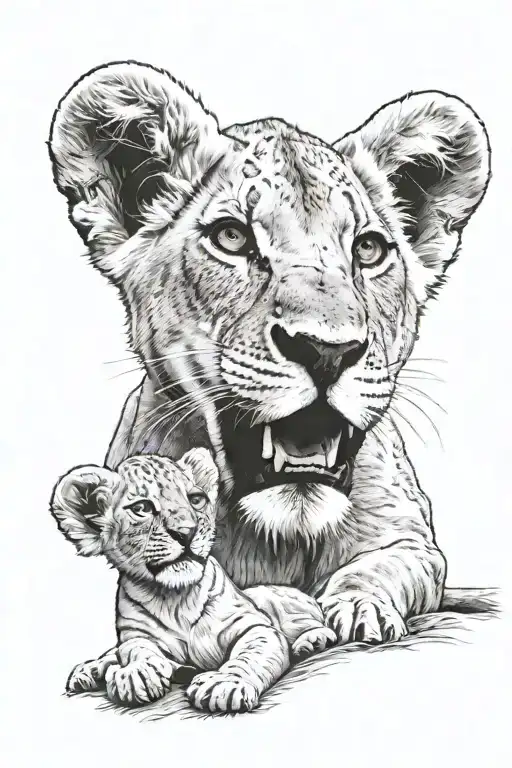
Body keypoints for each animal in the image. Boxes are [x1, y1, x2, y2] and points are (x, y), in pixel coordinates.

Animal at [49, 61, 490, 646]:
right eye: (232, 238)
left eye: (368, 249)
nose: (328, 350)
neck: (287, 532)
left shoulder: (414, 540)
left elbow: (386, 565)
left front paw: (360, 607)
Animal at [50, 448, 336, 712]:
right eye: (141, 508)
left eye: (196, 499)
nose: (187, 532)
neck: (175, 599)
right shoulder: (135, 633)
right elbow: (136, 648)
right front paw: (137, 674)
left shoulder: (255, 626)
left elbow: (251, 654)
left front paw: (225, 684)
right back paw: (91, 669)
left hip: (283, 604)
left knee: (310, 622)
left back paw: (313, 640)